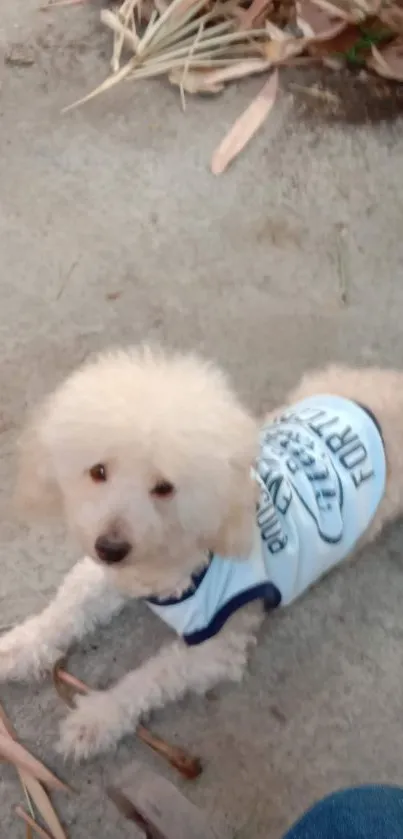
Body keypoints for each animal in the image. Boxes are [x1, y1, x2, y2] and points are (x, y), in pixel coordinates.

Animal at [0, 348, 402, 760]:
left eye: (164, 487)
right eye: (98, 471)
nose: (110, 548)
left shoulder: (215, 647)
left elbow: (149, 678)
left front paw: (99, 717)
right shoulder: (110, 575)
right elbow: (69, 606)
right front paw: (20, 645)